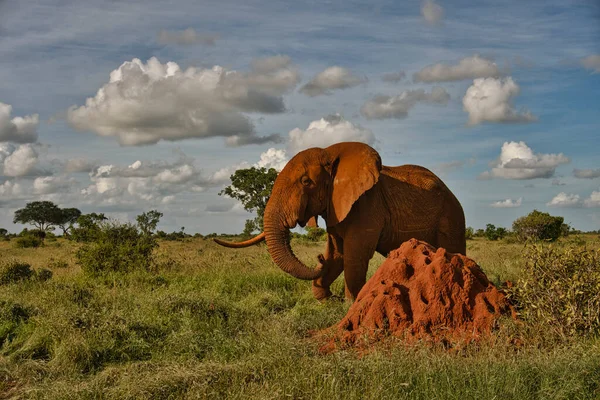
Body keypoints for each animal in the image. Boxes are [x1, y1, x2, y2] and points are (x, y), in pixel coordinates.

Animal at [213, 141, 466, 300]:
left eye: (306, 182)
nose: (318, 257)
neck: (330, 152)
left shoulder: (368, 204)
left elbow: (354, 256)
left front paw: (351, 304)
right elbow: (337, 254)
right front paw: (327, 300)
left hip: (451, 215)